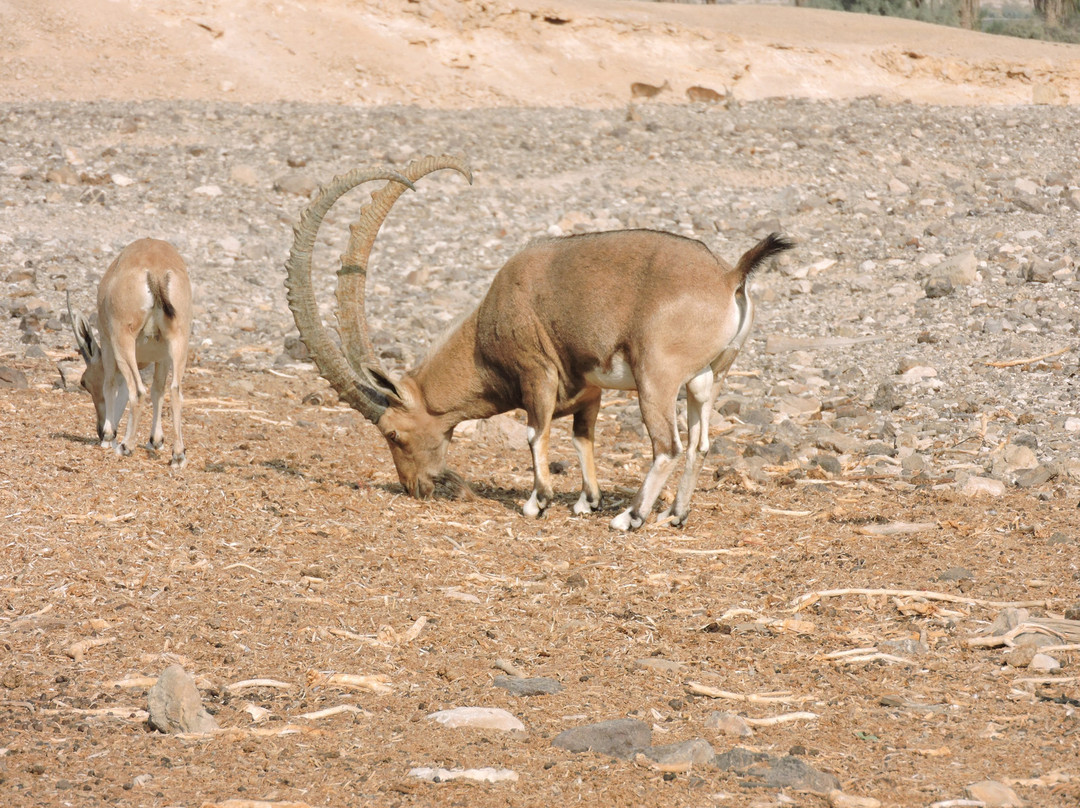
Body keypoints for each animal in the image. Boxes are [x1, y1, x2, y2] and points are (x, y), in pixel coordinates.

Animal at [69, 238, 193, 468]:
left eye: (84, 382)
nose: (99, 430)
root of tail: (156, 272)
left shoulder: (108, 343)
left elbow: (110, 385)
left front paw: (109, 438)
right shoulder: (162, 356)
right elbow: (158, 390)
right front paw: (155, 441)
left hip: (122, 340)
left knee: (137, 390)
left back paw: (126, 446)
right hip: (179, 340)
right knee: (175, 390)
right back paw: (178, 455)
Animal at [285, 156, 793, 530]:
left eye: (393, 433)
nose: (417, 488)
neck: (489, 322)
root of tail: (729, 276)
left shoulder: (536, 373)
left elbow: (535, 432)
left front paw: (539, 501)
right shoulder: (589, 390)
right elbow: (582, 437)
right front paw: (587, 501)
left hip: (657, 378)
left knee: (666, 445)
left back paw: (631, 517)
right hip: (708, 377)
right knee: (699, 444)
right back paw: (675, 515)